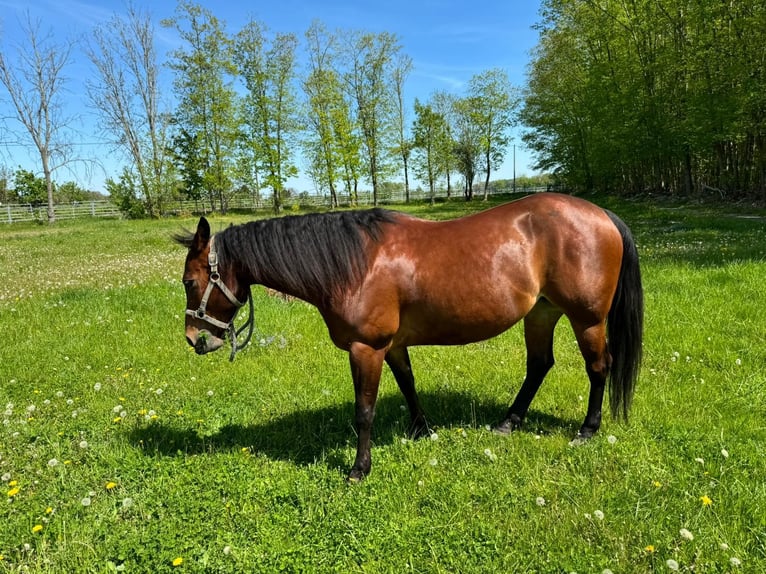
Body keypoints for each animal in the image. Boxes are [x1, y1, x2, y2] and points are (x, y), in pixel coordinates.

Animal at [174, 194, 640, 482]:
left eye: (190, 281)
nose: (195, 339)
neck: (354, 263)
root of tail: (602, 215)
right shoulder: (393, 346)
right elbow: (408, 384)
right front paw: (422, 430)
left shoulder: (367, 348)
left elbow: (364, 411)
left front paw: (359, 468)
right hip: (541, 312)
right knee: (539, 365)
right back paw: (508, 423)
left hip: (586, 319)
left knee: (598, 368)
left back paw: (587, 430)